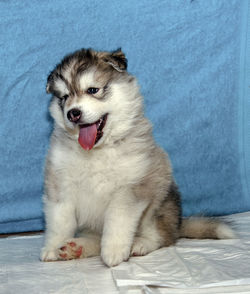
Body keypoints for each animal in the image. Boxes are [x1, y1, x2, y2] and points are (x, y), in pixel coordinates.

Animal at [40, 47, 234, 266]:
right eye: (64, 97)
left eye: (92, 90)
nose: (73, 113)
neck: (97, 150)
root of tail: (178, 223)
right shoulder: (59, 184)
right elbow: (60, 221)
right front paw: (54, 247)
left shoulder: (129, 188)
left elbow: (118, 220)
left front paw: (114, 251)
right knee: (96, 238)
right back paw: (77, 247)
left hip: (160, 201)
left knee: (162, 235)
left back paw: (140, 244)